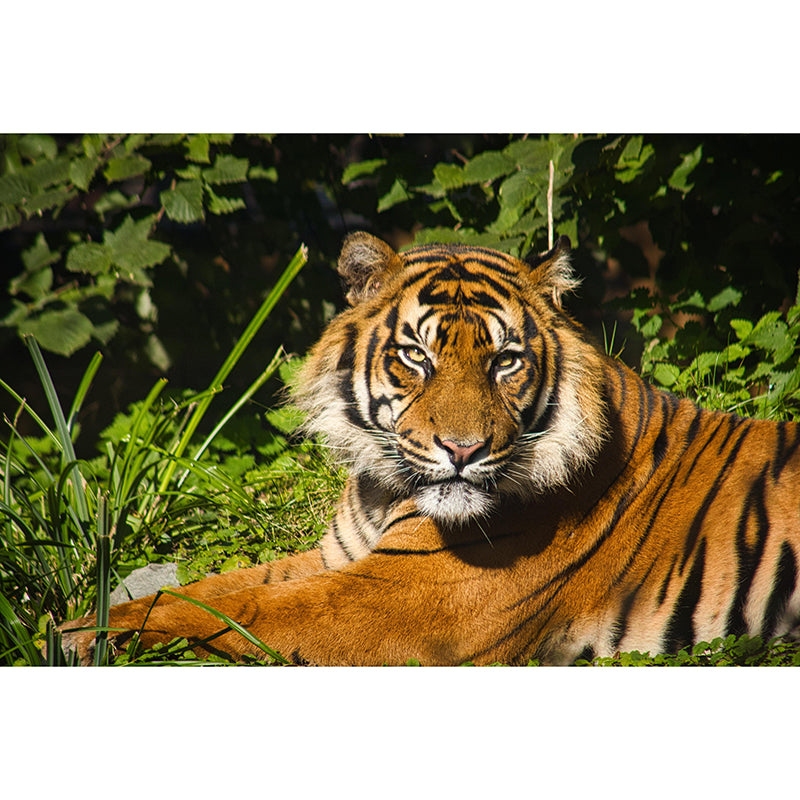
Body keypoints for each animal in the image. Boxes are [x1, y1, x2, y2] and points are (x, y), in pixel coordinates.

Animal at [60, 231, 800, 665]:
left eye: (505, 361)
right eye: (416, 356)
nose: (463, 449)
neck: (383, 488)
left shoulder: (394, 605)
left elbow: (235, 610)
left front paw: (81, 636)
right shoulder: (338, 558)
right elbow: (212, 587)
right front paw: (81, 619)